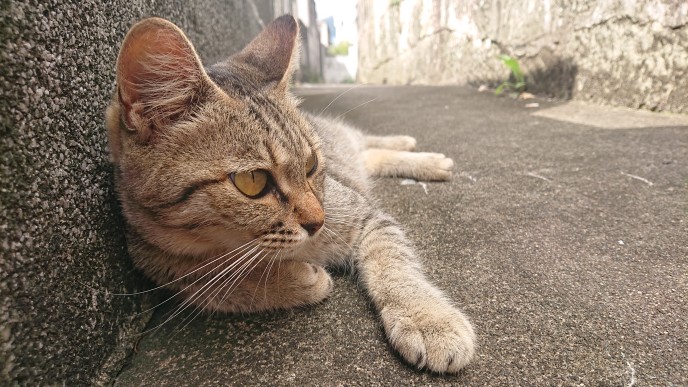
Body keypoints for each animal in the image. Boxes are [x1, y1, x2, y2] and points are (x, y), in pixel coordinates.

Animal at [105, 14, 476, 372]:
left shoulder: (364, 215)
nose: (318, 222)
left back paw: (421, 154)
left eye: (311, 164)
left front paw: (427, 318)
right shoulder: (155, 260)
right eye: (253, 181)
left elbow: (395, 263)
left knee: (364, 141)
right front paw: (294, 279)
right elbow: (213, 282)